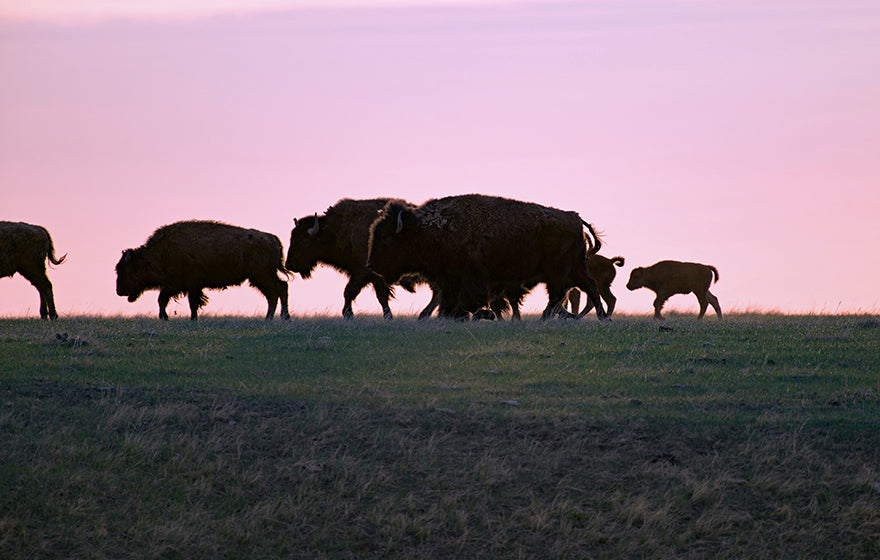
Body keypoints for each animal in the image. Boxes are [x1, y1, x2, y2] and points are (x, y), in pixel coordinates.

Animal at [114, 221, 288, 322]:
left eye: (128, 270)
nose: (119, 291)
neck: (160, 252)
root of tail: (272, 238)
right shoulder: (177, 285)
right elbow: (163, 299)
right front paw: (166, 318)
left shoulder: (188, 285)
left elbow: (189, 302)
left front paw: (189, 319)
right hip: (261, 277)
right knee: (277, 291)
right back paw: (274, 318)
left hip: (261, 276)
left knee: (278, 290)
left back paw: (276, 317)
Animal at [288, 198, 432, 320]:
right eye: (292, 238)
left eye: (304, 241)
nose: (289, 265)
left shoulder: (366, 273)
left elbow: (356, 292)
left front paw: (349, 315)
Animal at [364, 194, 604, 320]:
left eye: (387, 238)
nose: (370, 264)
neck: (430, 229)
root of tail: (575, 218)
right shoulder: (449, 279)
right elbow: (450, 300)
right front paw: (453, 316)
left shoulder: (472, 277)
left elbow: (471, 300)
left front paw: (482, 314)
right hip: (575, 268)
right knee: (589, 287)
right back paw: (603, 317)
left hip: (558, 272)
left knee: (560, 294)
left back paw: (547, 317)